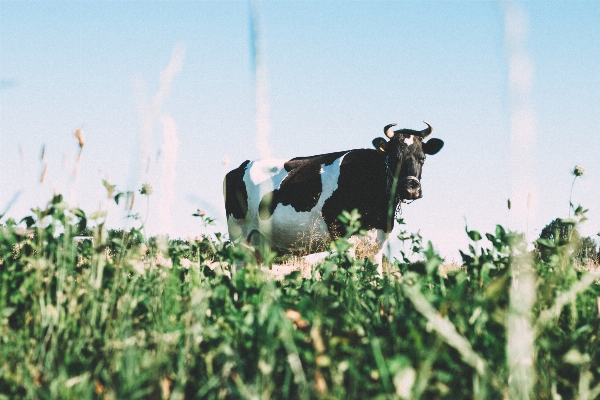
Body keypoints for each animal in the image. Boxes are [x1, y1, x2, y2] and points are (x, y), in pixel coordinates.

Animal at [223, 122, 442, 276]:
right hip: (239, 237)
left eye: (422, 158)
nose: (411, 189)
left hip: (260, 246)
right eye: (395, 157)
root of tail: (241, 166)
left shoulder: (377, 243)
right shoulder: (345, 238)